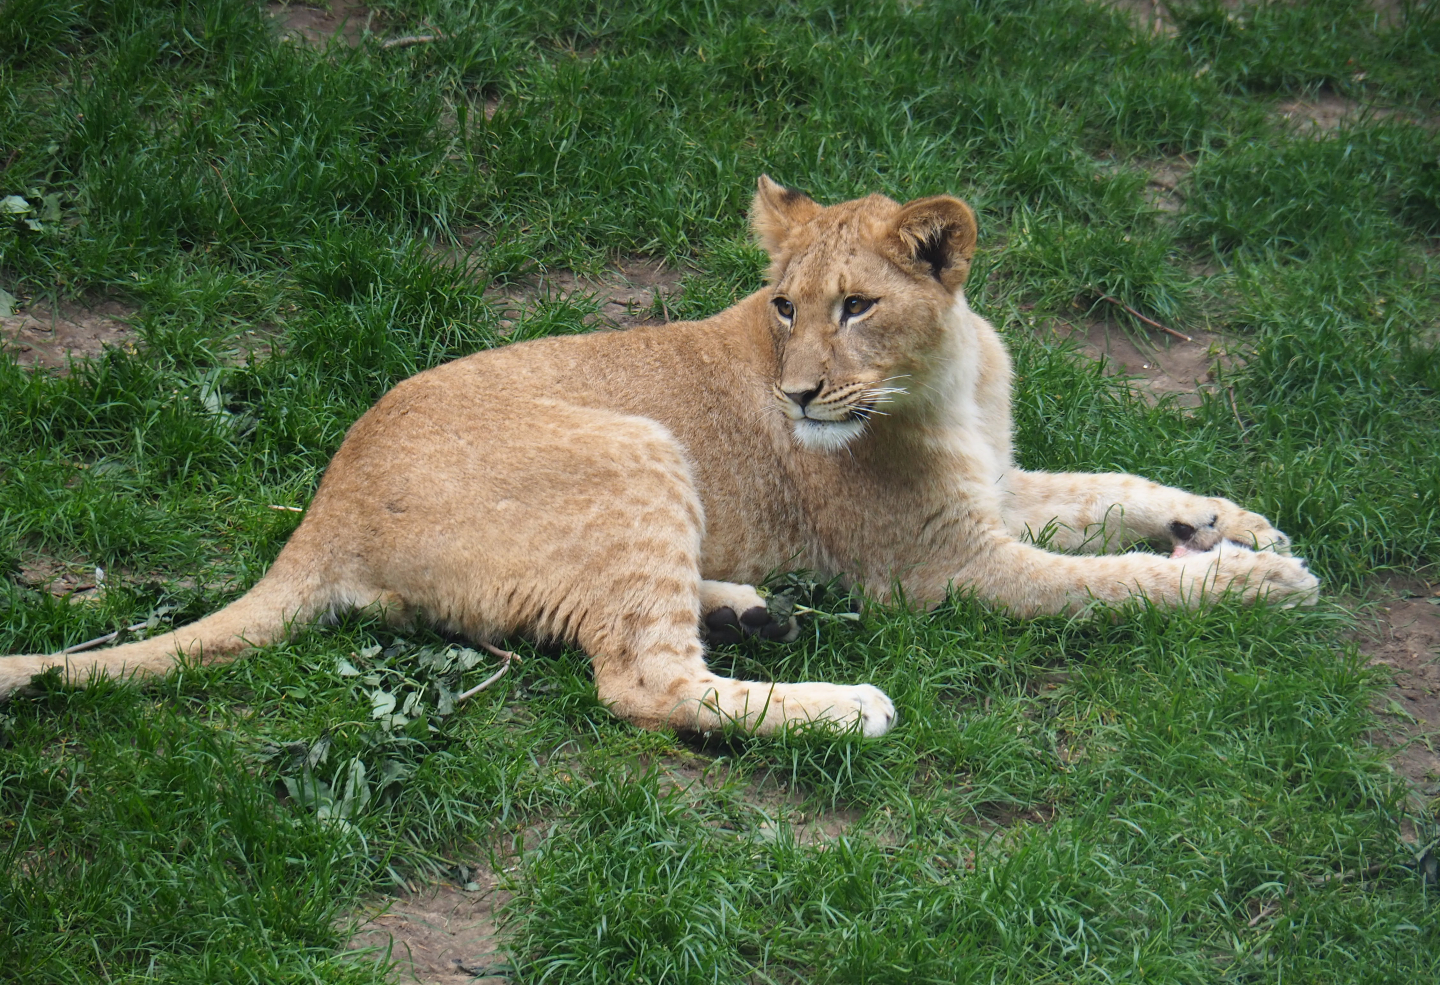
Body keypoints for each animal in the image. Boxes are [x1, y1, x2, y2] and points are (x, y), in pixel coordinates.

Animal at [0, 177, 1318, 736]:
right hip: (637, 444)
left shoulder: (997, 489)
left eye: (855, 306)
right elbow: (1116, 583)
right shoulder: (951, 567)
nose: (796, 395)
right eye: (782, 304)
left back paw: (755, 610)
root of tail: (322, 509)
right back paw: (843, 702)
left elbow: (1120, 492)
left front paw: (1233, 522)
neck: (945, 378)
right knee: (641, 682)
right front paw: (1258, 579)